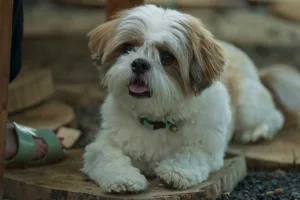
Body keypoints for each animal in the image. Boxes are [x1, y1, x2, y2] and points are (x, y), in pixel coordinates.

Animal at [81, 3, 300, 193]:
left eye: (167, 57)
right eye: (127, 48)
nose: (139, 63)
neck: (157, 120)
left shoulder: (209, 150)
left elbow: (192, 153)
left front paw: (175, 171)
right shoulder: (101, 145)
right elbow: (108, 157)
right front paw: (123, 178)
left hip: (249, 105)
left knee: (274, 116)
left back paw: (257, 132)